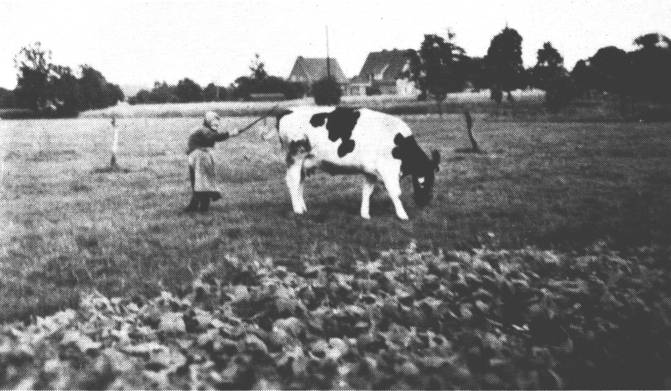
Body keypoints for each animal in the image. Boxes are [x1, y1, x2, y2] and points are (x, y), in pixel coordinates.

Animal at [276, 106, 440, 220]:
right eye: (424, 181)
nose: (424, 202)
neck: (400, 144)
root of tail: (288, 110)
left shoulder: (370, 172)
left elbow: (367, 192)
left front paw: (365, 214)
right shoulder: (388, 169)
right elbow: (395, 192)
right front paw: (403, 215)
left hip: (304, 162)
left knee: (300, 183)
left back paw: (303, 208)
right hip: (295, 158)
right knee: (293, 182)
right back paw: (298, 211)